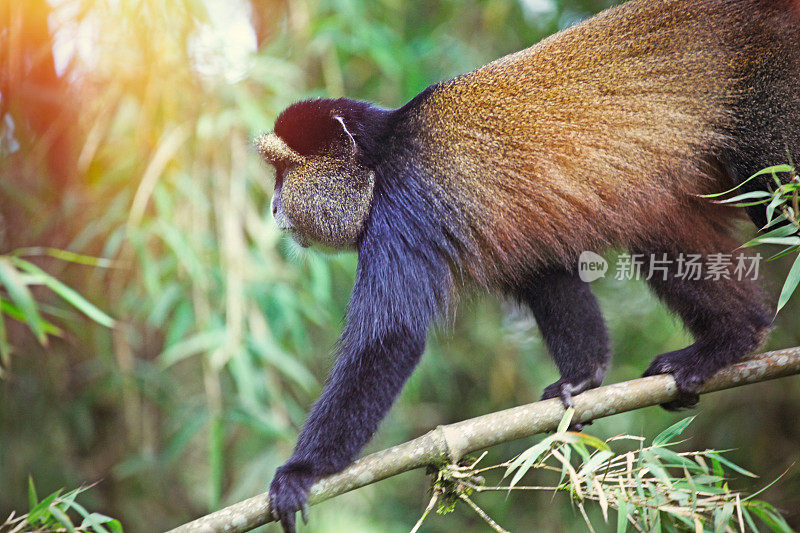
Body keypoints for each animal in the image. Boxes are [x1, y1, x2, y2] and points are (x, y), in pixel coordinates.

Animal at [256, 0, 800, 528]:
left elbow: (391, 337)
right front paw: (584, 377)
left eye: (284, 171)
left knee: (774, 194)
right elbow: (547, 278)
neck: (382, 154)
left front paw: (300, 472)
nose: (274, 208)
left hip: (772, 108)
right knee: (663, 228)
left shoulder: (406, 206)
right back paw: (737, 334)